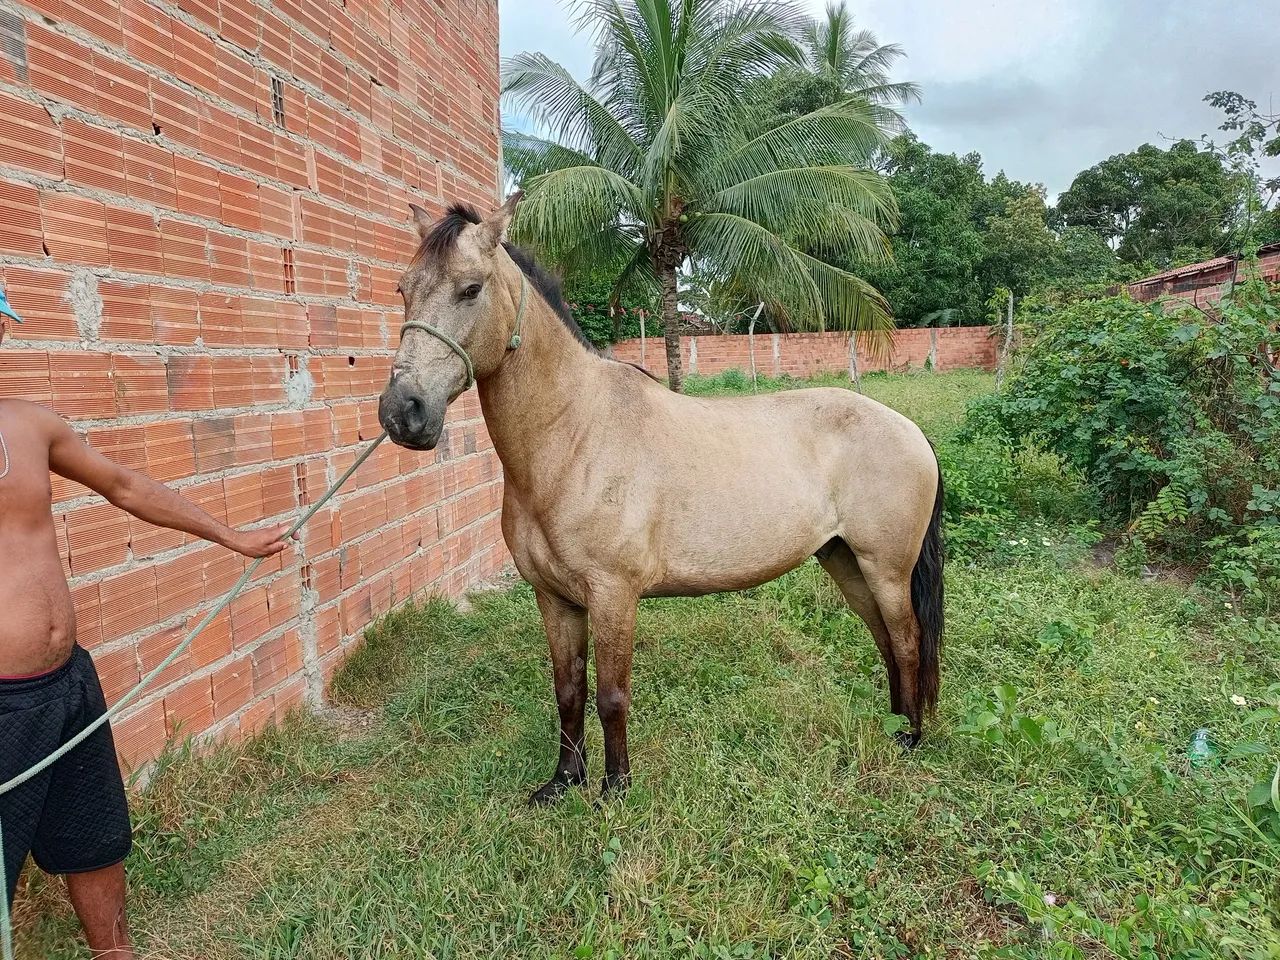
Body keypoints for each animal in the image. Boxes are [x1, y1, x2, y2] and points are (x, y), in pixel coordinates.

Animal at [378, 194, 944, 804]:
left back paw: (910, 739)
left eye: (470, 289)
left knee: (907, 641)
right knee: (886, 640)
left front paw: (614, 790)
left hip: (884, 567)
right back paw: (893, 728)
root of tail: (909, 430)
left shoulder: (613, 596)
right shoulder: (555, 600)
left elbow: (611, 697)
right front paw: (562, 782)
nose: (403, 411)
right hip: (844, 561)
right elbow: (568, 691)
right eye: (403, 289)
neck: (576, 434)